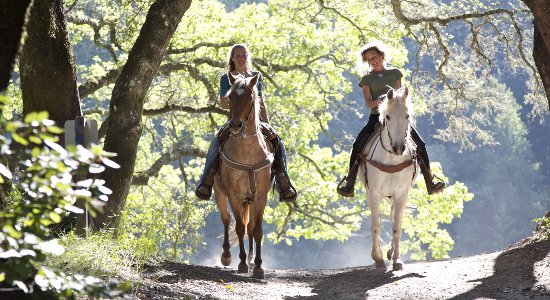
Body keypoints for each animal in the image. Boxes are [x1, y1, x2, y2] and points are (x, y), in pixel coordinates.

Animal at [213, 72, 274, 278]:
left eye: (250, 98)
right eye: (230, 97)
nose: (236, 126)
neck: (247, 155)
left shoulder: (261, 196)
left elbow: (257, 230)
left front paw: (258, 267)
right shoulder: (234, 195)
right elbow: (239, 228)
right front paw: (241, 264)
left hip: (251, 200)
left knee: (251, 227)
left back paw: (251, 258)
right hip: (219, 193)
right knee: (226, 218)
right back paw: (226, 256)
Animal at [358, 86, 418, 272]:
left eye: (407, 116)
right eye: (388, 117)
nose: (398, 148)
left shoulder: (401, 194)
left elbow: (397, 228)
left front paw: (397, 260)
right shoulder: (374, 193)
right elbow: (376, 226)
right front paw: (377, 257)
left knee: (392, 218)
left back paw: (391, 253)